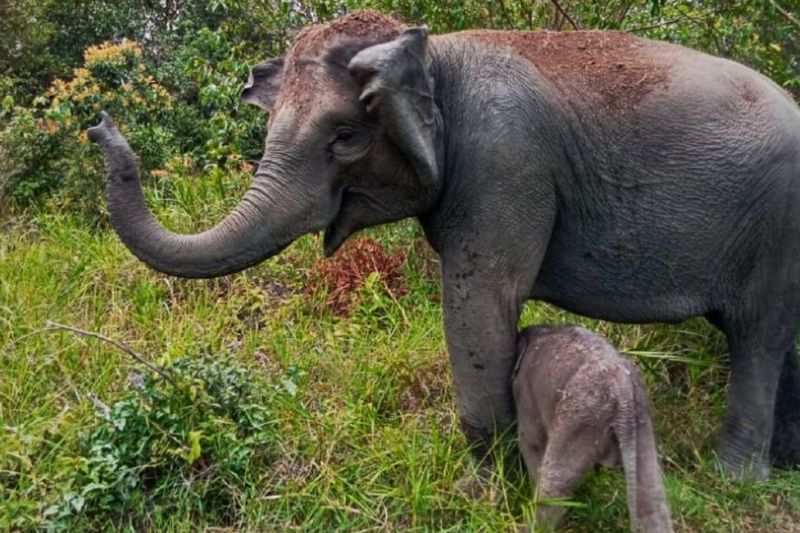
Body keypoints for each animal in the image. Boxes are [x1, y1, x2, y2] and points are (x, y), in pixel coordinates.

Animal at [89, 11, 800, 478]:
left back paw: (732, 478)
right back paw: (783, 467)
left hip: (780, 227)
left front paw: (482, 490)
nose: (98, 124)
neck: (430, 50)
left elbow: (482, 303)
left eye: (345, 137)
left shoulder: (506, 164)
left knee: (759, 336)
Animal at [512, 326, 668, 528]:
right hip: (641, 420)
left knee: (554, 484)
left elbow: (530, 444)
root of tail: (622, 391)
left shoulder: (526, 399)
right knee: (651, 495)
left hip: (580, 419)